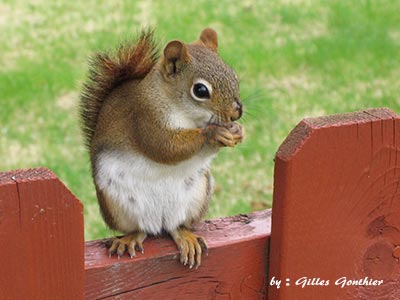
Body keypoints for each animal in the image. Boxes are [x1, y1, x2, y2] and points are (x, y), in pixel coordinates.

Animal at [79, 27, 244, 268]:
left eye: (234, 75)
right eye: (200, 90)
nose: (237, 113)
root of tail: (158, 221)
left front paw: (238, 131)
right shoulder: (145, 116)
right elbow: (165, 147)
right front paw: (213, 134)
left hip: (197, 196)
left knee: (175, 227)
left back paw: (185, 237)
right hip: (116, 205)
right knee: (139, 229)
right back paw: (130, 238)